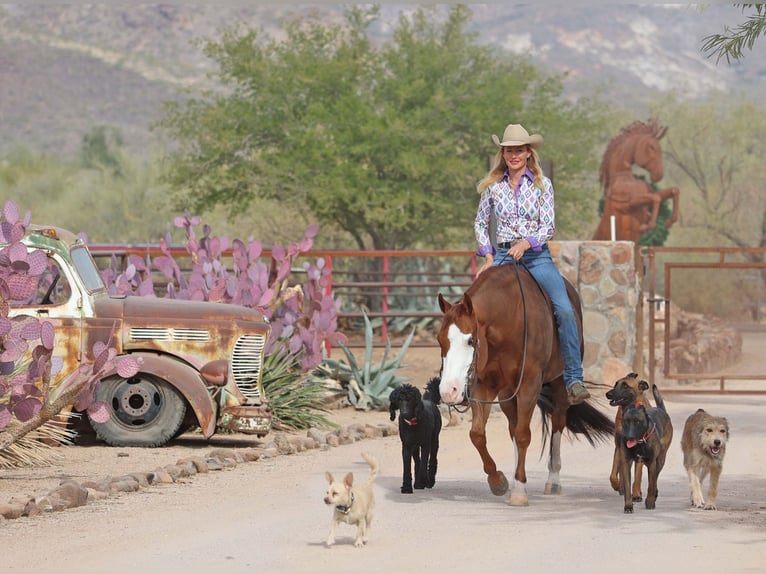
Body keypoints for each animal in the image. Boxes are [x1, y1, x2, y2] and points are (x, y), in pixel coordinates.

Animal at [440, 264, 616, 506]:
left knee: (558, 422)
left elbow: (524, 434)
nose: (448, 391)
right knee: (513, 427)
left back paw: (553, 480)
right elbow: (477, 434)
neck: (508, 319)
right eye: (440, 340)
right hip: (507, 394)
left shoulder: (530, 384)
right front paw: (499, 481)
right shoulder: (484, 385)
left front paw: (520, 492)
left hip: (559, 385)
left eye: (470, 340)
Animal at [620, 384, 676, 516]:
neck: (640, 443)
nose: (629, 437)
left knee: (655, 479)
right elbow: (627, 486)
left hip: (660, 460)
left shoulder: (652, 463)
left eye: (637, 422)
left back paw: (654, 494)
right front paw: (628, 506)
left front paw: (650, 501)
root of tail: (661, 410)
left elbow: (651, 484)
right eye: (626, 421)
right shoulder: (626, 463)